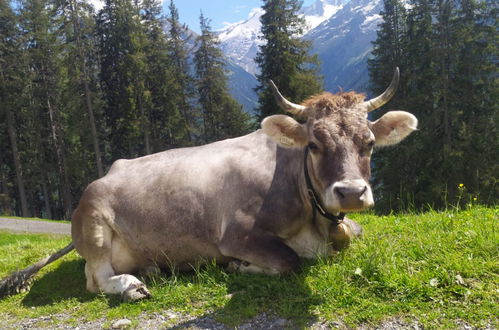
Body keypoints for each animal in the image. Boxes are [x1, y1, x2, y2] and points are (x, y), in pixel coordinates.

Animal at [0, 69, 418, 302]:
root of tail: (105, 174)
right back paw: (132, 286)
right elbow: (289, 260)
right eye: (313, 145)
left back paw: (153, 270)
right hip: (96, 224)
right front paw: (239, 267)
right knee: (95, 279)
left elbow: (354, 234)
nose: (351, 193)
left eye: (369, 142)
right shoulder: (237, 234)